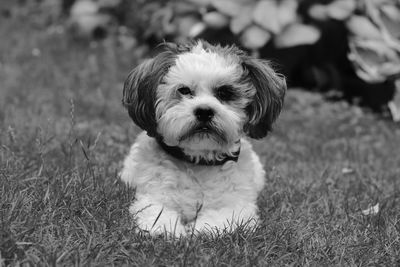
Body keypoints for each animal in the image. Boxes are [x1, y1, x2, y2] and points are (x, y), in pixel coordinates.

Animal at [120, 39, 286, 237]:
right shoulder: (152, 198)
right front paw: (171, 231)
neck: (198, 161)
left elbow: (218, 221)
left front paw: (196, 231)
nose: (205, 111)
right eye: (184, 90)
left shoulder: (237, 207)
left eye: (224, 93)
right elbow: (157, 215)